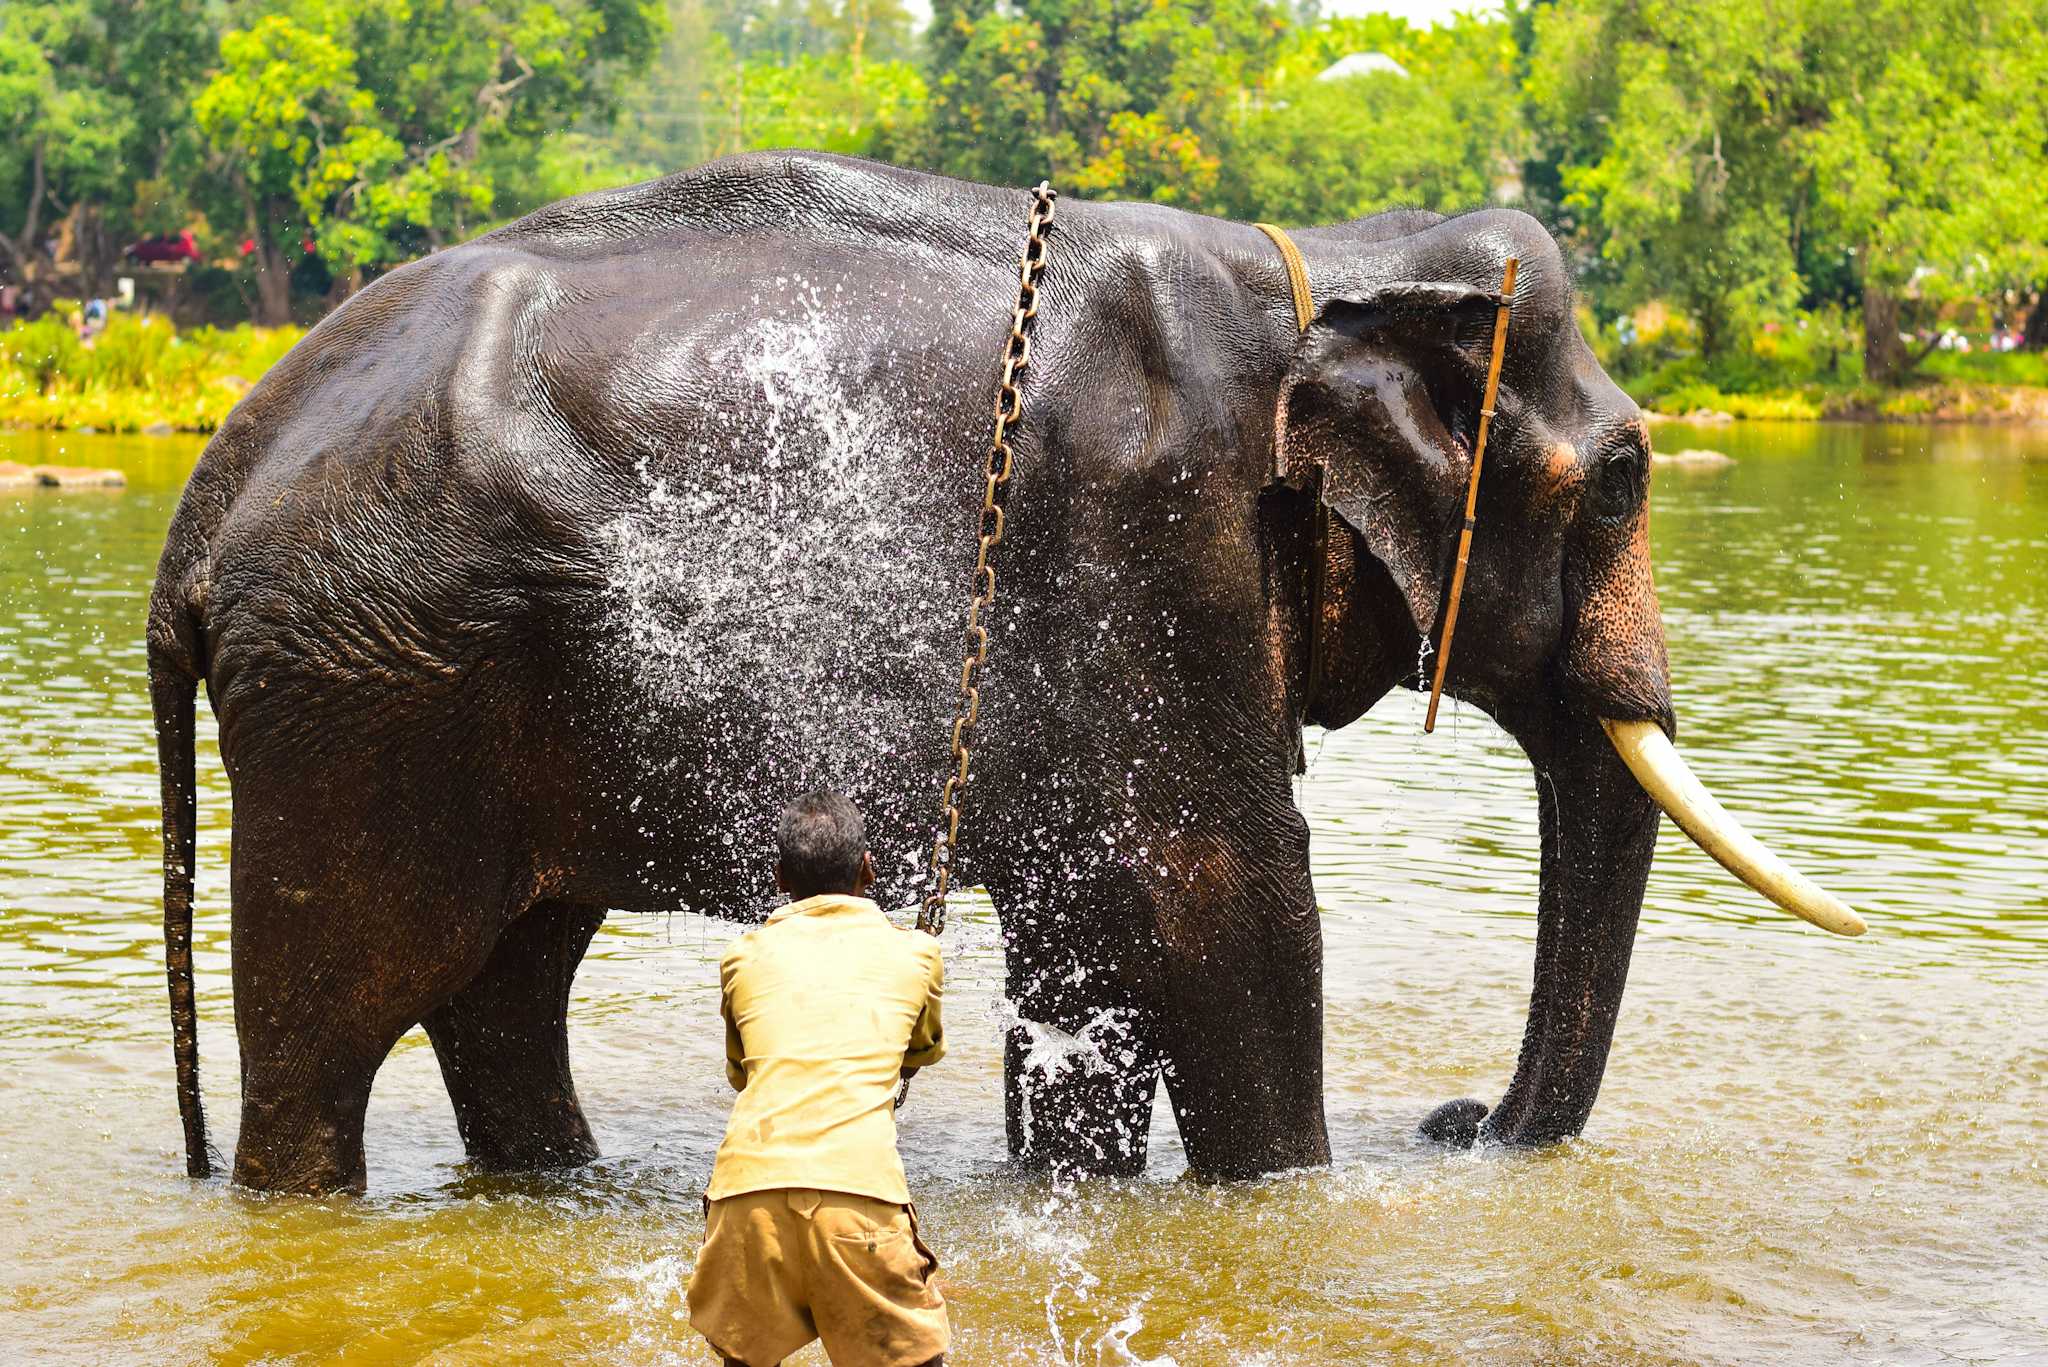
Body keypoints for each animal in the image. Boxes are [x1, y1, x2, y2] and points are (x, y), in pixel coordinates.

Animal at [148, 152, 1859, 1196]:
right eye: (1627, 480)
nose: (1453, 1121)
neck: (1317, 263)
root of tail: (212, 490)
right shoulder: (1163, 542)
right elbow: (1231, 900)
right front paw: (1295, 1192)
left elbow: (1093, 925)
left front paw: (1076, 1191)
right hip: (360, 687)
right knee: (334, 1028)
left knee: (509, 979)